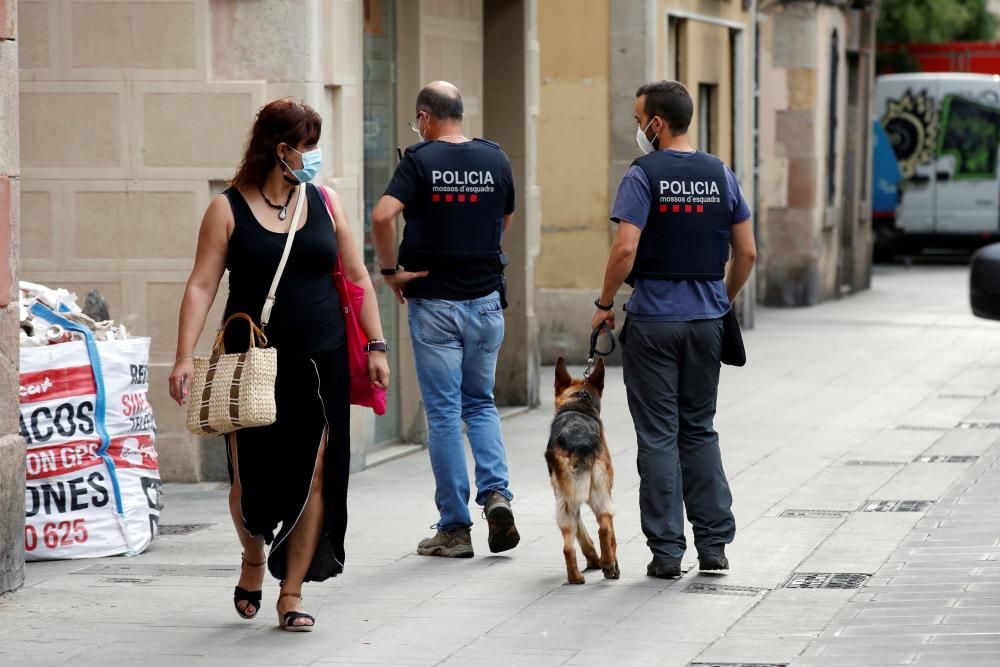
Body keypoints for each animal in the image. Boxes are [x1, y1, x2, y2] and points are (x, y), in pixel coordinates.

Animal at [548, 358, 616, 580]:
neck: (578, 400)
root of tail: (579, 446)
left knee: (568, 547)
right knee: (604, 528)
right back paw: (609, 565)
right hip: (601, 495)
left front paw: (594, 559)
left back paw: (576, 577)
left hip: (565, 504)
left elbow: (582, 533)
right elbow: (612, 537)